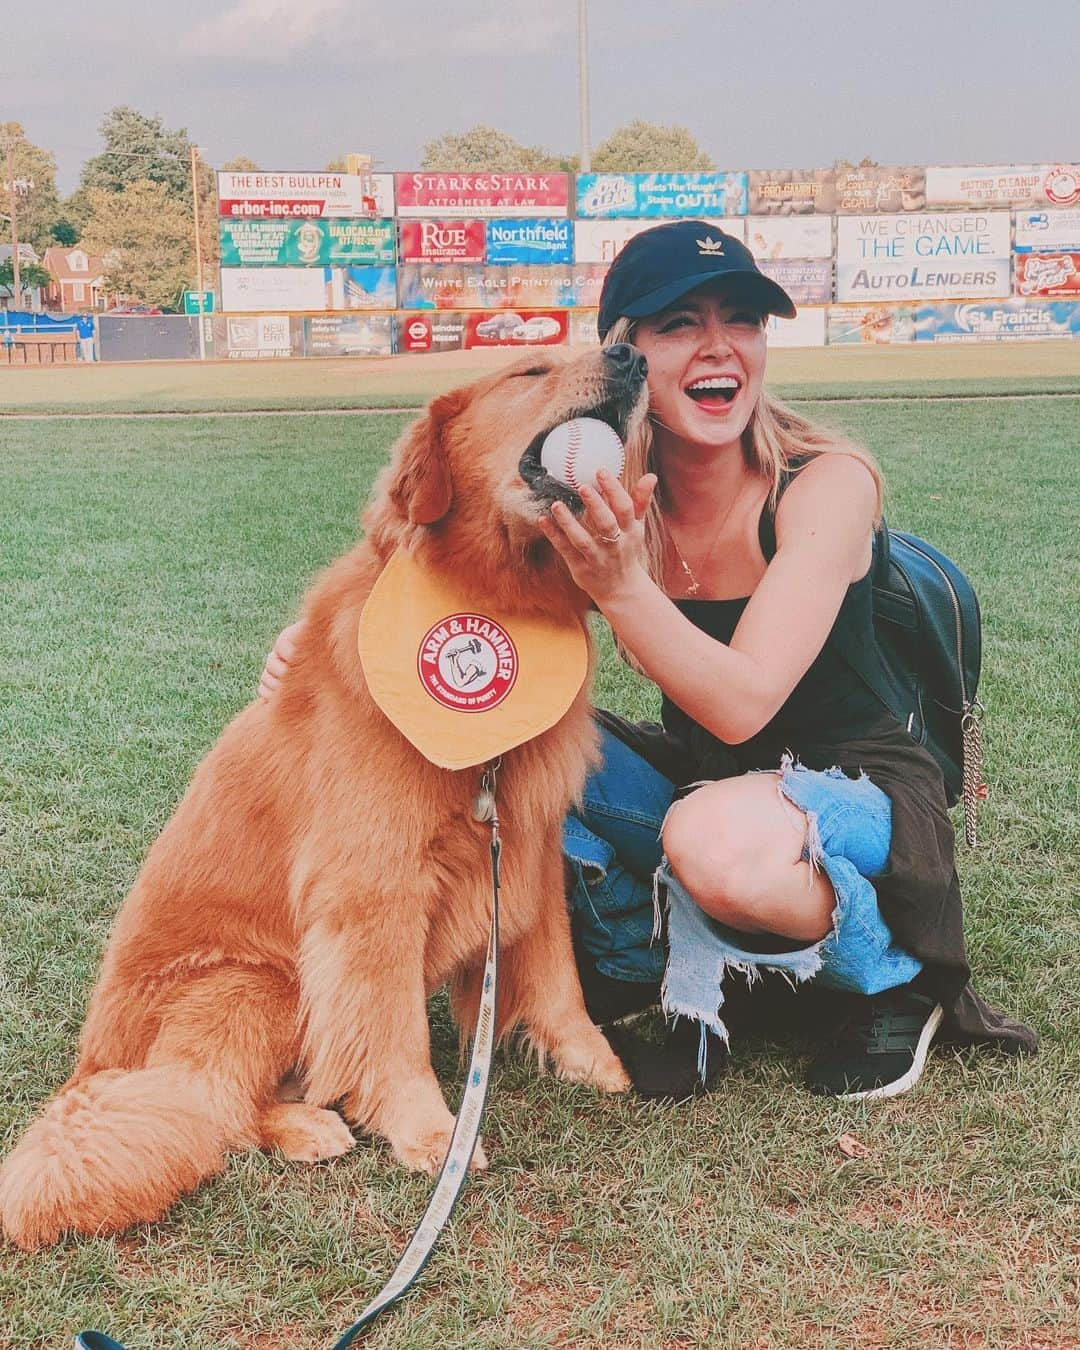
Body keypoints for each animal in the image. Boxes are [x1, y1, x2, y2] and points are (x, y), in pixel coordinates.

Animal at [0, 342, 650, 1247]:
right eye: (528, 371)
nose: (629, 354)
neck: (494, 599)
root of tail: (90, 1067)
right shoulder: (373, 886)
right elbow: (391, 1029)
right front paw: (430, 1132)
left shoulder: (525, 843)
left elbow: (556, 975)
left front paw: (589, 1058)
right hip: (254, 984)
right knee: (210, 1107)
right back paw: (306, 1125)